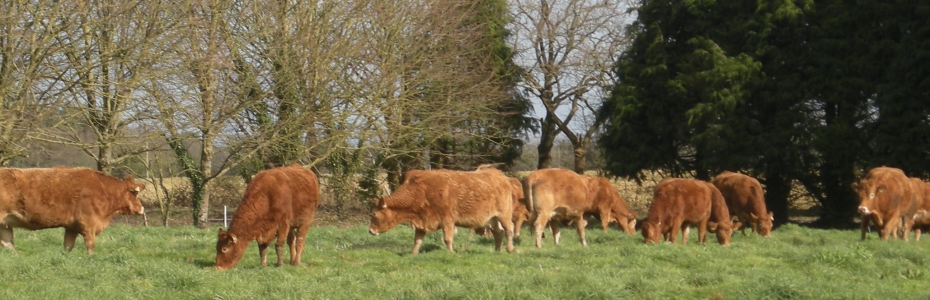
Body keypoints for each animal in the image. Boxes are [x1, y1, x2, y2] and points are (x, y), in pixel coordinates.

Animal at [0, 166, 145, 253]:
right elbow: (90, 245)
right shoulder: (88, 223)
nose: (142, 208)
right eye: (135, 193)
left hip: (5, 225)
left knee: (8, 245)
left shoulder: (71, 227)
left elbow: (68, 246)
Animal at [368, 165, 516, 254]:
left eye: (374, 214)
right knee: (498, 232)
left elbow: (447, 239)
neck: (421, 191)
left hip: (504, 215)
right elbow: (417, 240)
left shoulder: (447, 220)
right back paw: (497, 250)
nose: (370, 231)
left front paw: (451, 253)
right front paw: (413, 254)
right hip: (492, 218)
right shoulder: (422, 221)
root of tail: (499, 175)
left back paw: (509, 249)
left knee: (509, 230)